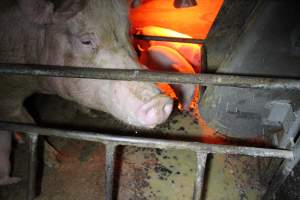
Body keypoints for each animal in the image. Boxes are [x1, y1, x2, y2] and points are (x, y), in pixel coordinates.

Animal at [0, 0, 172, 184]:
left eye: (129, 33)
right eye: (86, 41)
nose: (160, 101)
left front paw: (90, 113)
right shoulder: (8, 100)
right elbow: (28, 124)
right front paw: (57, 162)